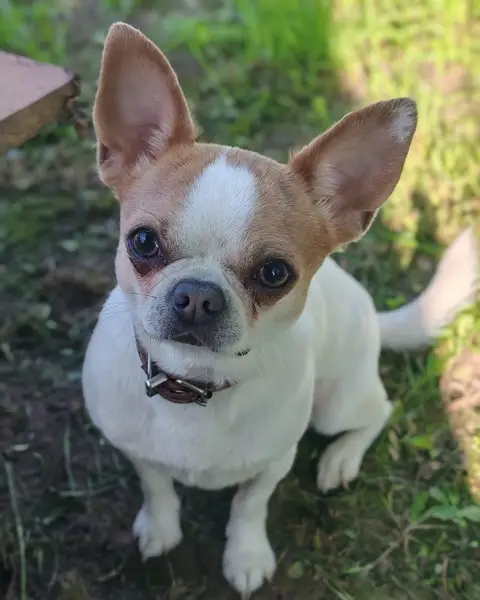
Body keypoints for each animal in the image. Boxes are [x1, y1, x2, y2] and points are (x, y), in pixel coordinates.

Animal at [82, 22, 479, 598]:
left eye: (275, 274)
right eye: (142, 243)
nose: (198, 295)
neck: (196, 383)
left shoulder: (274, 462)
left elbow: (250, 506)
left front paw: (245, 555)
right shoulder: (136, 451)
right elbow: (156, 484)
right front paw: (161, 527)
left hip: (336, 403)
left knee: (379, 411)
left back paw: (341, 458)